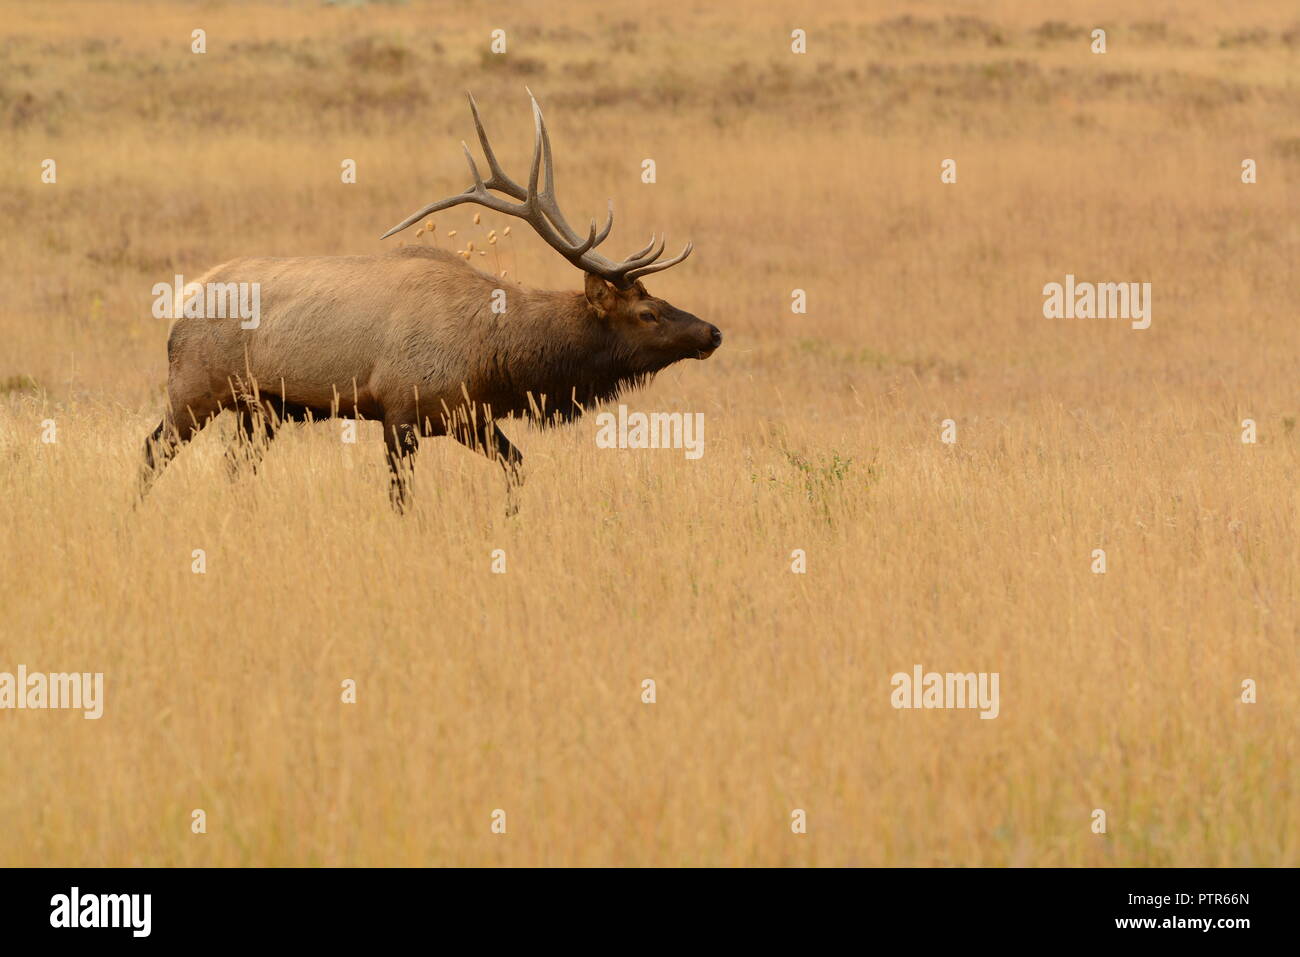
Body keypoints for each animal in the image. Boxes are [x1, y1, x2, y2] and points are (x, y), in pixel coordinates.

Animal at [139, 91, 721, 511]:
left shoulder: (469, 416)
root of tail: (181, 303)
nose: (712, 332)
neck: (496, 354)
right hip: (194, 388)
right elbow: (401, 497)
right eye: (646, 313)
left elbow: (518, 465)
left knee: (234, 465)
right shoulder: (399, 411)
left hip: (262, 410)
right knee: (152, 449)